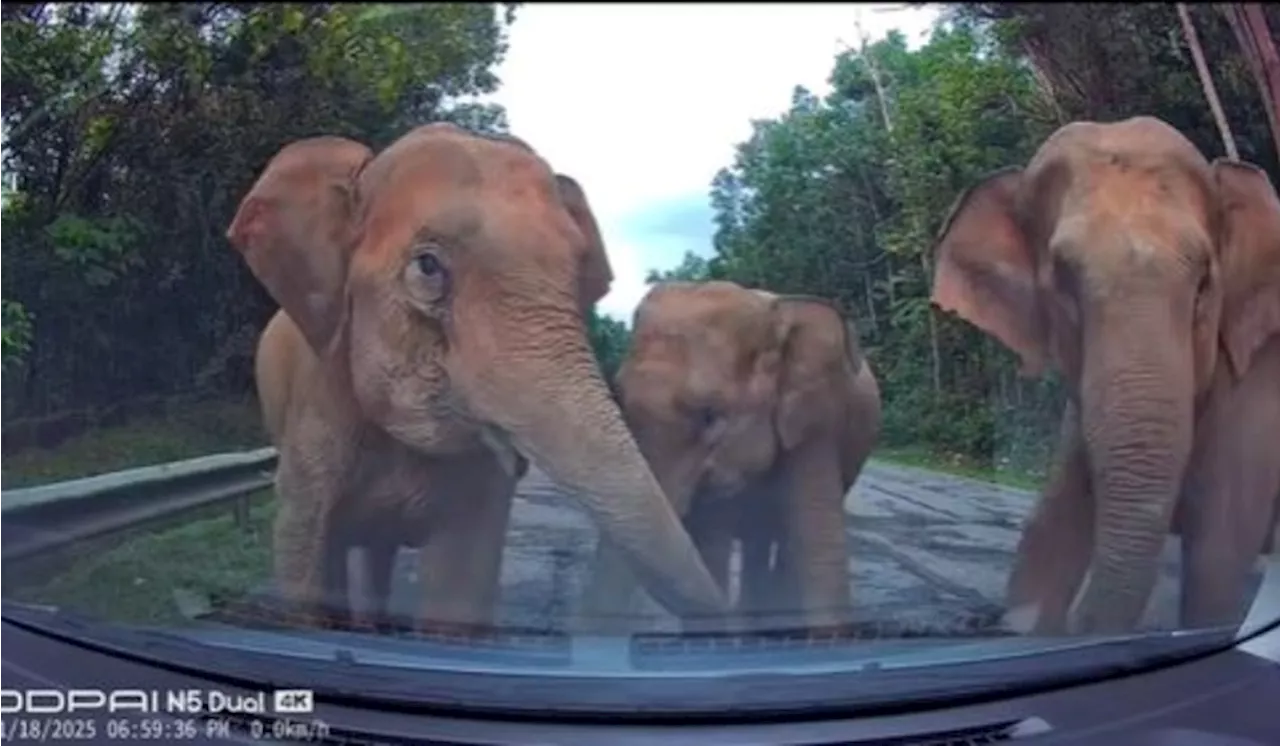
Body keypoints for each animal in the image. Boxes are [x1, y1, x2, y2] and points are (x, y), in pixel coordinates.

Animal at [926, 115, 1280, 637]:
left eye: (1203, 284)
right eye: (1063, 281)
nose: (981, 622)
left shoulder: (1256, 388)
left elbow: (1217, 553)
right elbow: (1051, 524)